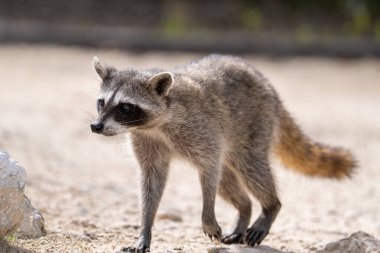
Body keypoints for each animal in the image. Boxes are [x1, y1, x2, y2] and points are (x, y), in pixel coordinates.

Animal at [90, 54, 354, 252]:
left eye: (125, 107)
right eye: (101, 102)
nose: (96, 126)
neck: (153, 126)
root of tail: (268, 86)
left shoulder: (200, 131)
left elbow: (208, 168)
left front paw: (208, 215)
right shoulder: (146, 142)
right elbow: (151, 183)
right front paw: (145, 230)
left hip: (255, 125)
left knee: (252, 170)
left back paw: (270, 206)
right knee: (228, 183)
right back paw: (245, 210)